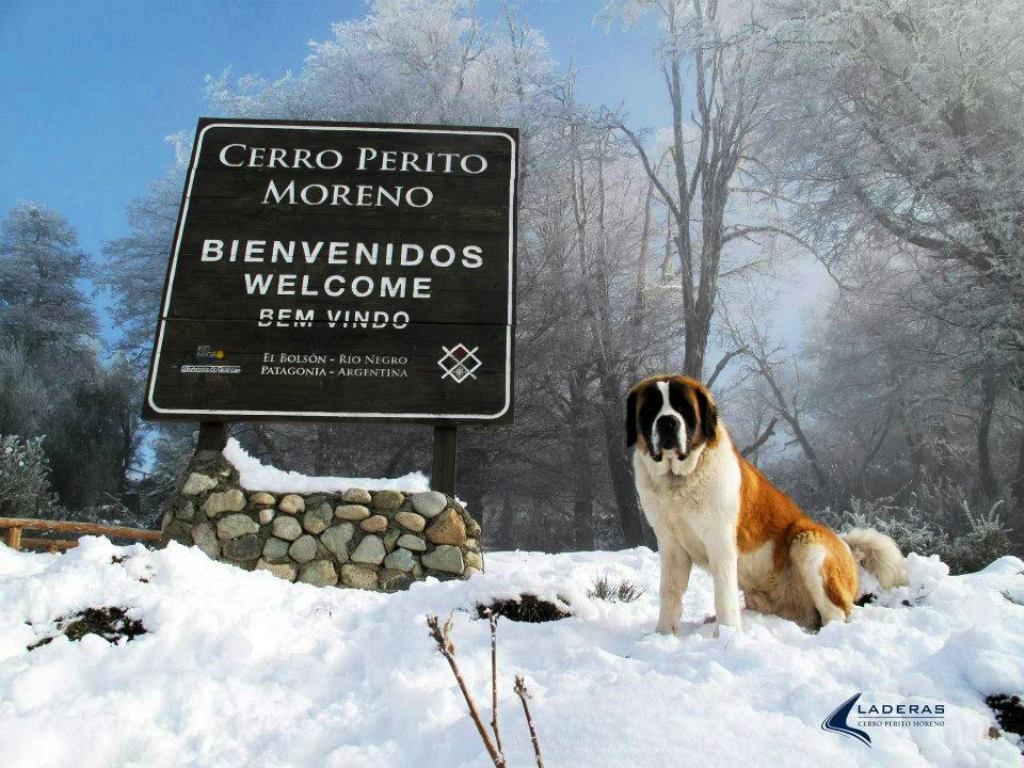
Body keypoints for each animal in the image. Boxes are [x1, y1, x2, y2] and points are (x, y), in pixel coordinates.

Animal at [626, 376, 909, 634]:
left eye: (683, 407)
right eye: (650, 409)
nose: (667, 421)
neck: (678, 480)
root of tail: (846, 547)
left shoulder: (721, 542)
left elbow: (723, 593)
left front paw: (726, 635)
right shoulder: (671, 544)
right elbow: (669, 590)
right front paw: (663, 634)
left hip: (808, 542)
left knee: (837, 613)